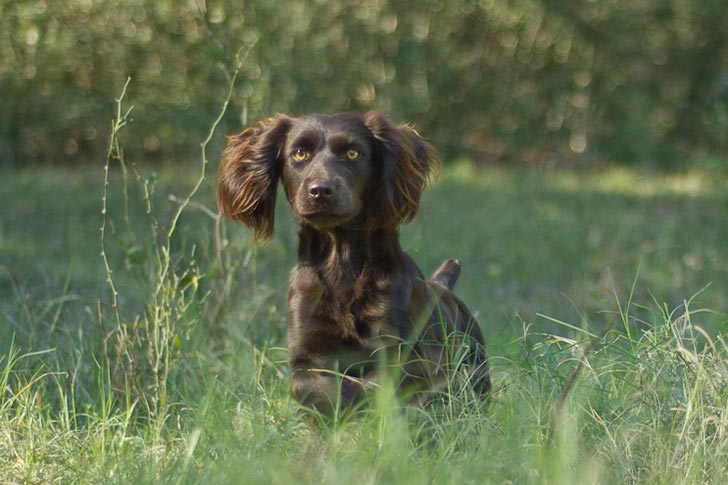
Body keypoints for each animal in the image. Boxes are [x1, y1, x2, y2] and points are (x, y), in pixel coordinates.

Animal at [216, 110, 490, 412]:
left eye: (352, 153)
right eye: (299, 153)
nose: (320, 190)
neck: (341, 263)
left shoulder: (409, 353)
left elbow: (378, 384)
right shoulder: (306, 357)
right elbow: (319, 387)